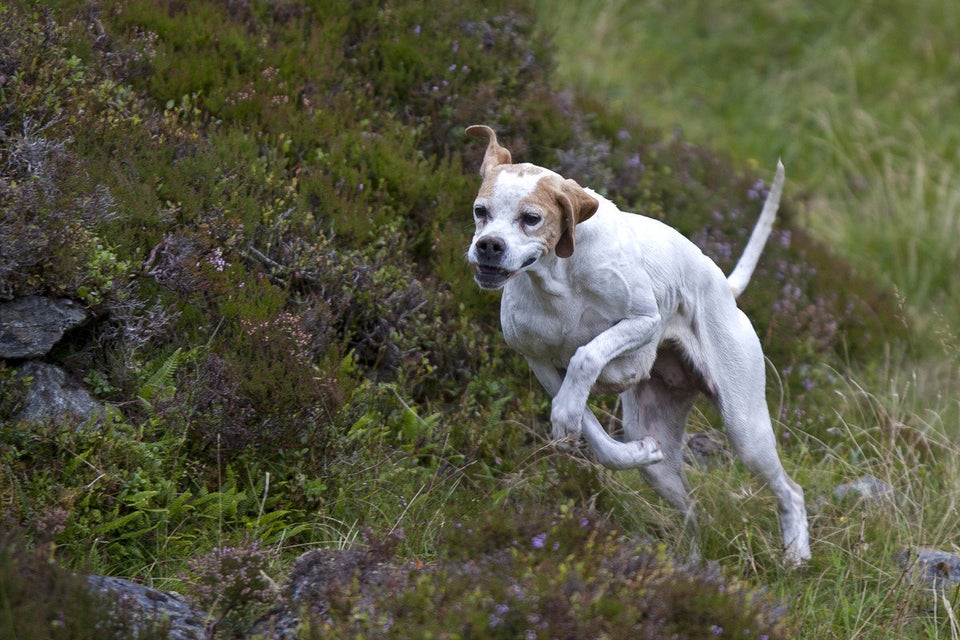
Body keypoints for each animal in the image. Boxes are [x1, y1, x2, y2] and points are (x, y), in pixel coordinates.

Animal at [464, 125, 808, 564]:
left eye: (531, 219)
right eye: (481, 211)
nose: (489, 245)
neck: (557, 279)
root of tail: (725, 289)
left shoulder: (645, 320)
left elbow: (587, 355)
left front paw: (603, 376)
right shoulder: (538, 363)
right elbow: (593, 433)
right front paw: (631, 448)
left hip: (746, 432)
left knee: (790, 491)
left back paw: (796, 553)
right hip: (660, 458)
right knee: (693, 512)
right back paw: (692, 564)